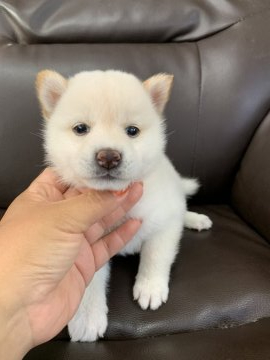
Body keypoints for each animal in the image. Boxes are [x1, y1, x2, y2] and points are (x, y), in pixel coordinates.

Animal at [36, 69, 213, 342]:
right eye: (80, 129)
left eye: (132, 131)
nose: (108, 156)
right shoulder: (89, 244)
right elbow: (89, 280)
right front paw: (87, 317)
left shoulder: (164, 222)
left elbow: (155, 256)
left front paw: (150, 286)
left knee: (183, 207)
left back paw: (196, 218)